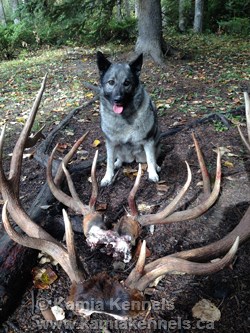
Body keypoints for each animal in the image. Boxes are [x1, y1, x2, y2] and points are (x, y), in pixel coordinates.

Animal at [96, 52, 161, 187]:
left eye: (127, 83)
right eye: (111, 82)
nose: (118, 99)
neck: (124, 118)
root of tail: (133, 158)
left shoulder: (148, 141)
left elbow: (151, 159)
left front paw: (152, 173)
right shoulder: (110, 143)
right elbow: (109, 161)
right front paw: (107, 177)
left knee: (153, 158)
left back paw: (156, 167)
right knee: (119, 158)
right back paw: (118, 163)